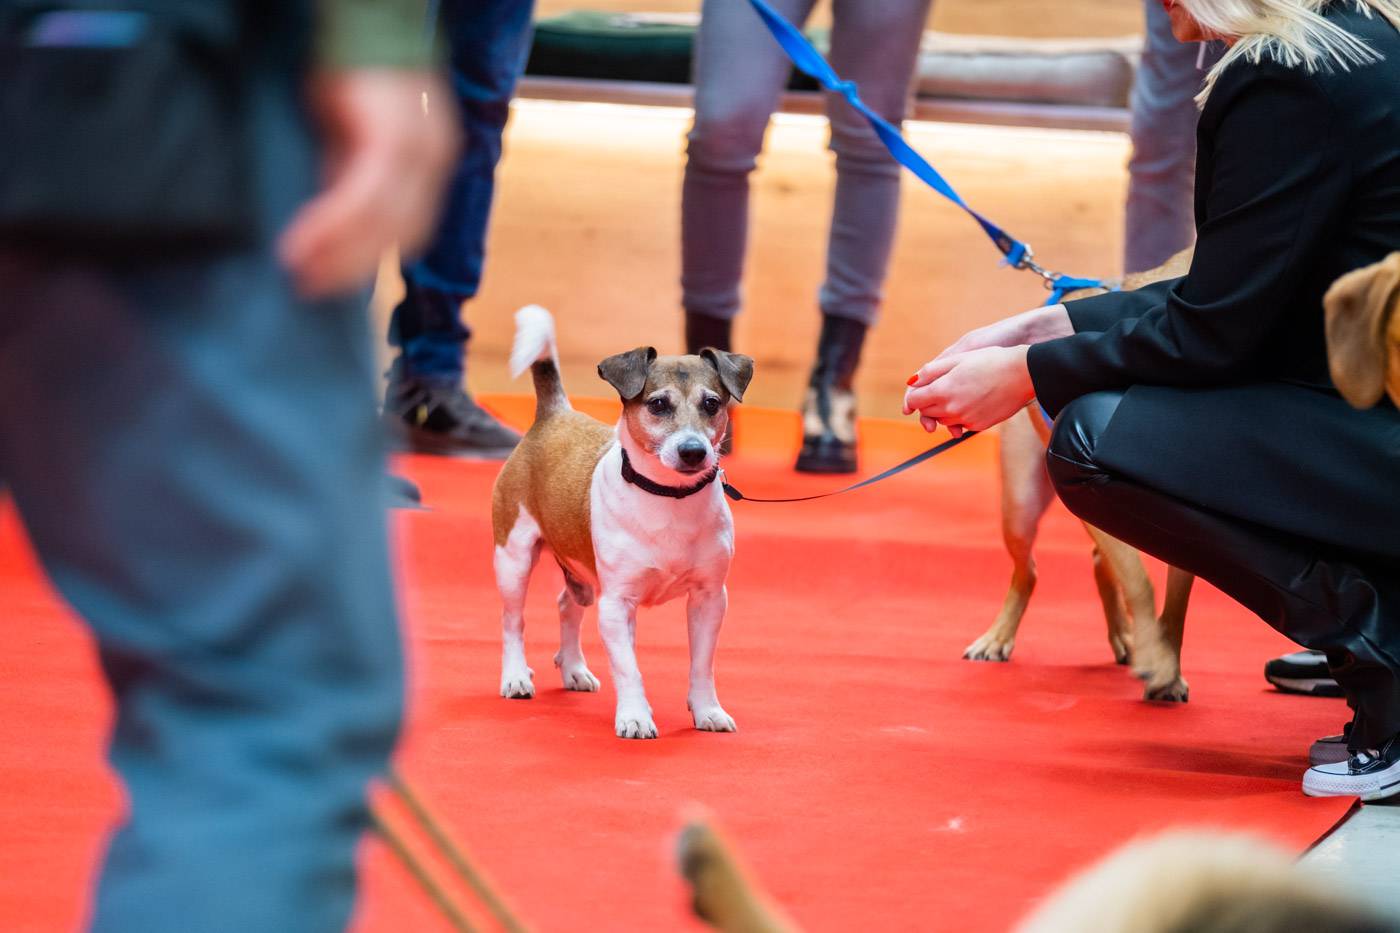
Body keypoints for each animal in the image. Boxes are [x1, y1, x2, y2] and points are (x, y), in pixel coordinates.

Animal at [492, 308, 756, 739]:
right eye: (659, 404)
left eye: (713, 403)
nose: (693, 450)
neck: (668, 497)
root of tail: (554, 414)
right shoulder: (617, 605)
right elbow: (629, 669)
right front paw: (635, 716)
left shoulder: (710, 599)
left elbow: (702, 665)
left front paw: (707, 711)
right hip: (512, 559)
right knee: (513, 620)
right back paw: (515, 676)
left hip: (581, 573)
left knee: (568, 604)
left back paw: (574, 669)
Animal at [968, 246, 1198, 697]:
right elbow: (1141, 584)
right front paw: (1157, 660)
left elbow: (1175, 604)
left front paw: (1168, 666)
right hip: (1020, 508)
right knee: (1028, 571)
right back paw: (998, 637)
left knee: (1099, 563)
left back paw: (1127, 637)